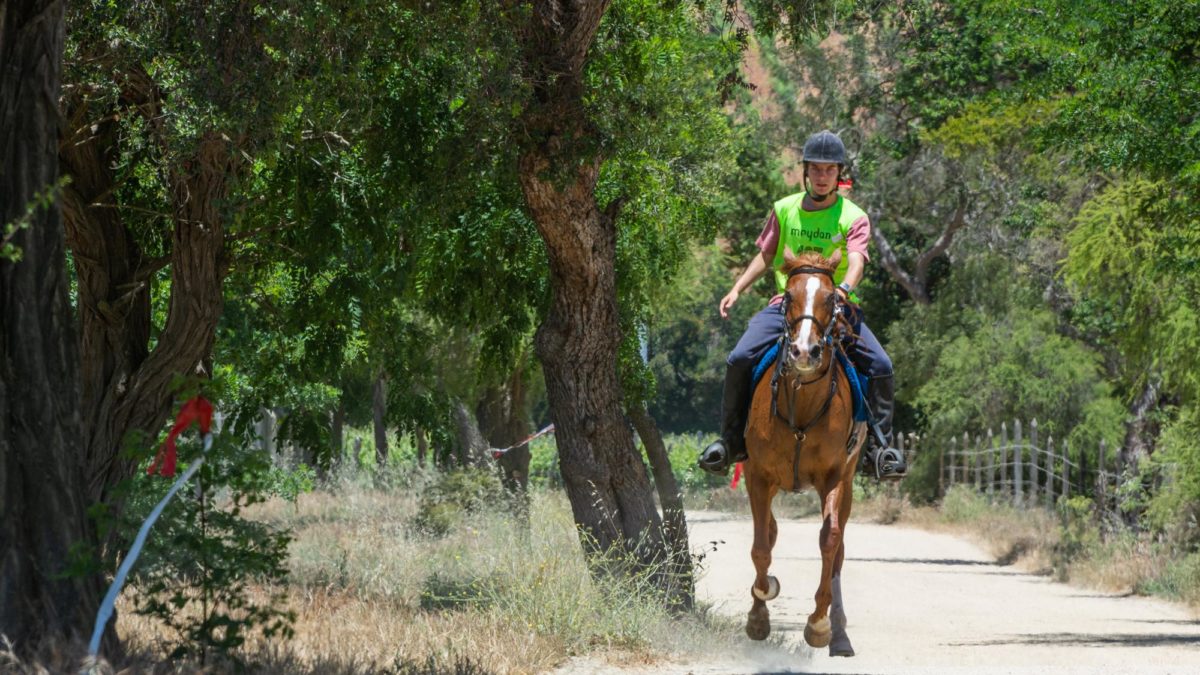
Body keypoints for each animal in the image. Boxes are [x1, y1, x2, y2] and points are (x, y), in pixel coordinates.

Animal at [739, 247, 864, 653]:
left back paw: (838, 633)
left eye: (830, 299)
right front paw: (759, 614)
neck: (802, 406)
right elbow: (761, 546)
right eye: (789, 296)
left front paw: (819, 624)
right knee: (770, 531)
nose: (804, 351)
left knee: (839, 549)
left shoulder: (835, 476)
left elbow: (830, 541)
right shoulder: (757, 475)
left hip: (850, 483)